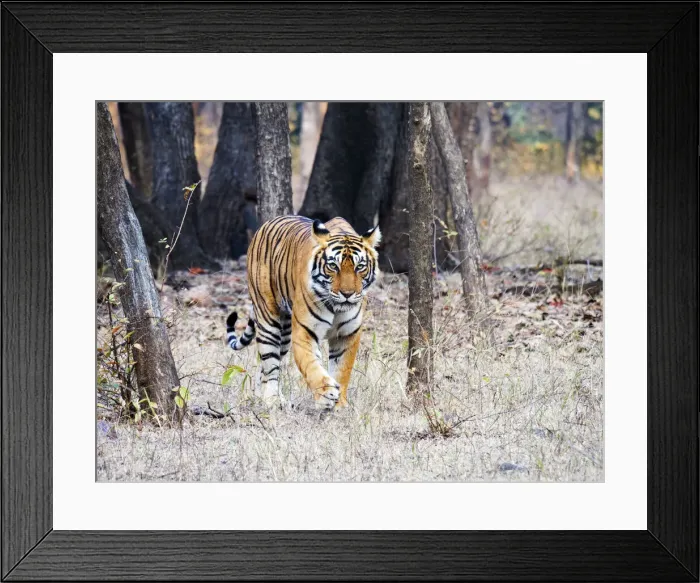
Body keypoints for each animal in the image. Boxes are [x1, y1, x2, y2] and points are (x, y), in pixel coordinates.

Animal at [226, 215, 381, 410]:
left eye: (360, 267)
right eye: (333, 266)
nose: (347, 294)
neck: (336, 307)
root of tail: (266, 224)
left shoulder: (347, 335)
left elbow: (342, 370)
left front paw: (340, 404)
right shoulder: (304, 331)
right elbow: (311, 365)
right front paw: (326, 394)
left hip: (284, 334)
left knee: (265, 370)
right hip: (269, 320)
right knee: (270, 366)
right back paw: (272, 400)